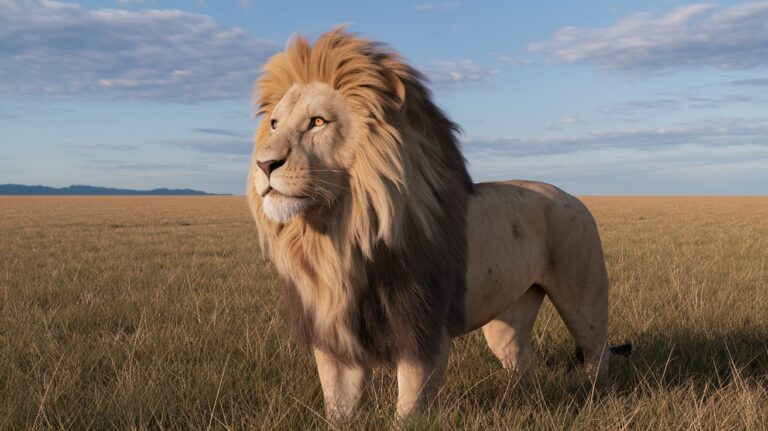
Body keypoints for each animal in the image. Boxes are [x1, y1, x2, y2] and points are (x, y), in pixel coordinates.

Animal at [247, 28, 622, 421]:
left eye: (318, 122)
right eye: (274, 124)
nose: (264, 164)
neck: (341, 238)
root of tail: (573, 197)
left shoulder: (424, 333)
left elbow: (408, 412)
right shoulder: (335, 339)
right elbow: (338, 409)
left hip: (583, 293)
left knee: (597, 349)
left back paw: (593, 395)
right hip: (509, 314)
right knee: (520, 358)